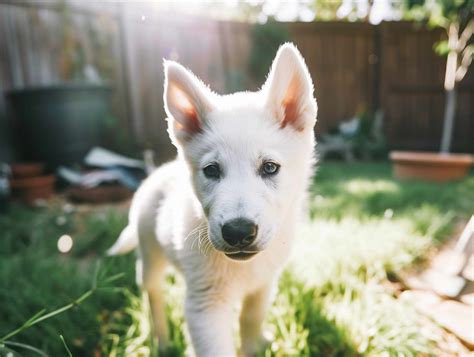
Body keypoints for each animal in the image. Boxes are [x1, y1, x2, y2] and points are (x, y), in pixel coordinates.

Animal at [107, 43, 318, 354]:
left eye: (270, 167)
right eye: (211, 170)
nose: (238, 231)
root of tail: (159, 171)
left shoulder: (264, 283)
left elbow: (251, 318)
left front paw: (254, 346)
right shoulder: (205, 306)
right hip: (150, 252)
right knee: (152, 292)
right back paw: (161, 339)